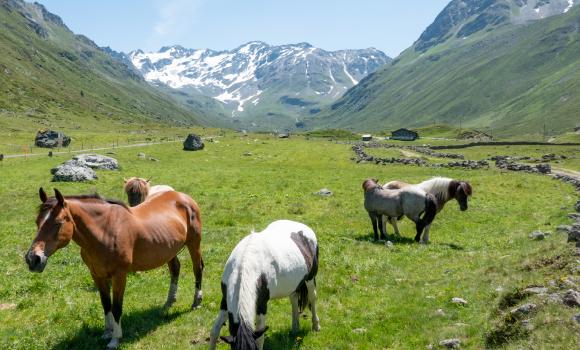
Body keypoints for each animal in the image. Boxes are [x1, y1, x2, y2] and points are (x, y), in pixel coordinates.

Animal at [26, 187, 205, 348]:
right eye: (37, 222)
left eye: (58, 223)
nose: (33, 259)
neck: (105, 232)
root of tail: (183, 197)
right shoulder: (97, 275)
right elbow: (106, 304)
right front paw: (107, 332)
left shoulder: (119, 276)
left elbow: (117, 307)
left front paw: (115, 339)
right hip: (169, 250)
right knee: (175, 269)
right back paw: (169, 301)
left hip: (193, 243)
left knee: (198, 269)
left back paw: (196, 302)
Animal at [208, 220, 320, 348]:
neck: (243, 266)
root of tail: (303, 227)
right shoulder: (224, 301)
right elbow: (214, 331)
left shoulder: (261, 305)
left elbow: (260, 339)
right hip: (294, 284)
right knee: (294, 299)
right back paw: (295, 329)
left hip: (310, 278)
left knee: (312, 297)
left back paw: (316, 326)